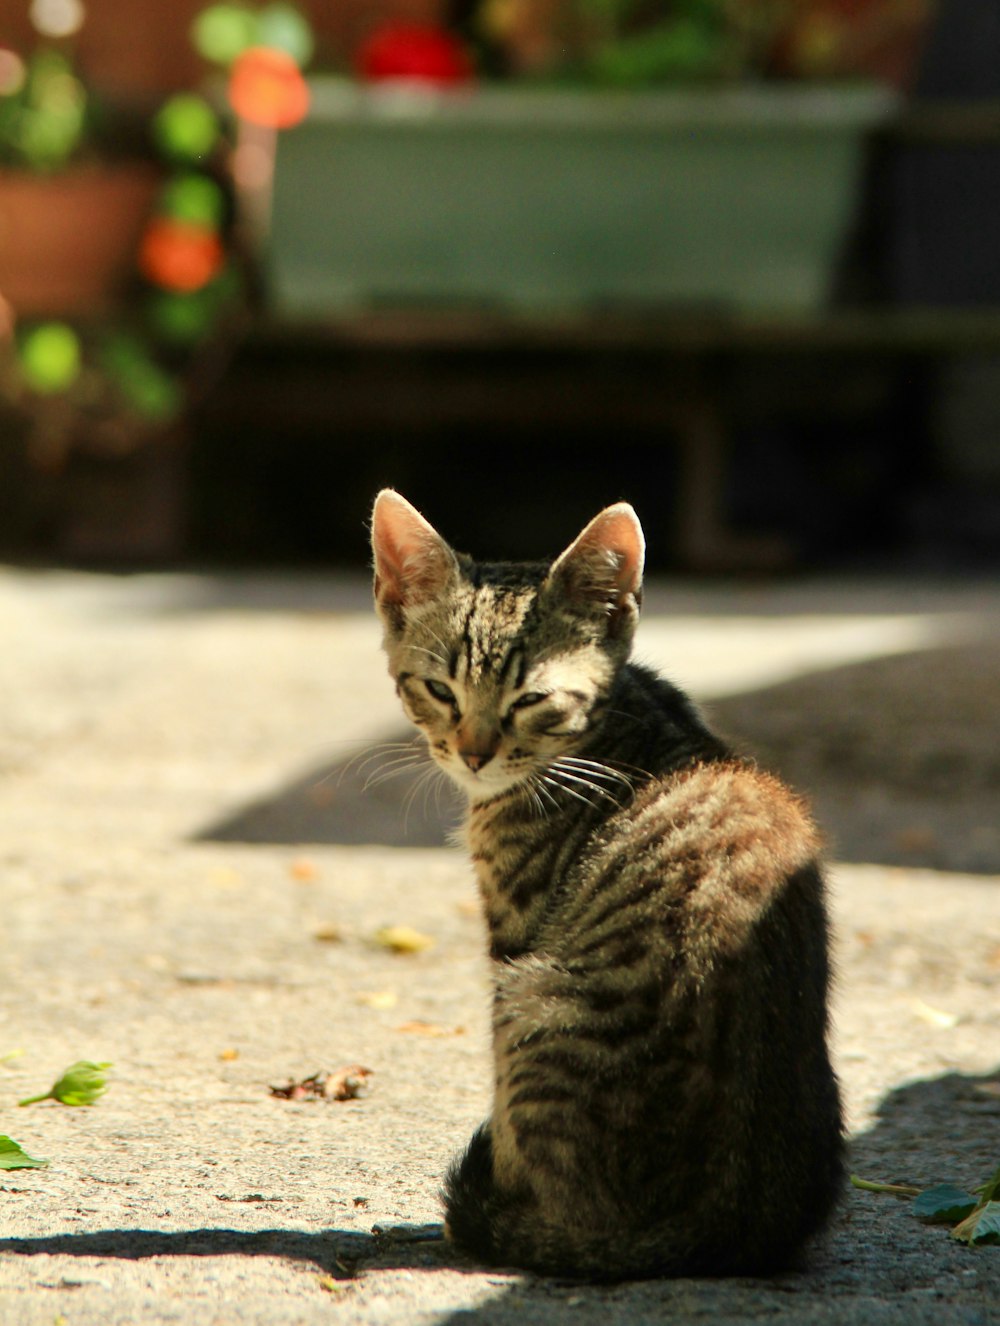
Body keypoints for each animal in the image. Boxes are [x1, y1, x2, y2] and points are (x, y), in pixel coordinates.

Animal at [371, 493, 838, 1278]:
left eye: (532, 699)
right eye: (439, 689)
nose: (473, 753)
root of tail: (720, 1229)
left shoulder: (513, 937)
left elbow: (502, 1104)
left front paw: (499, 1197)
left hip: (533, 996)